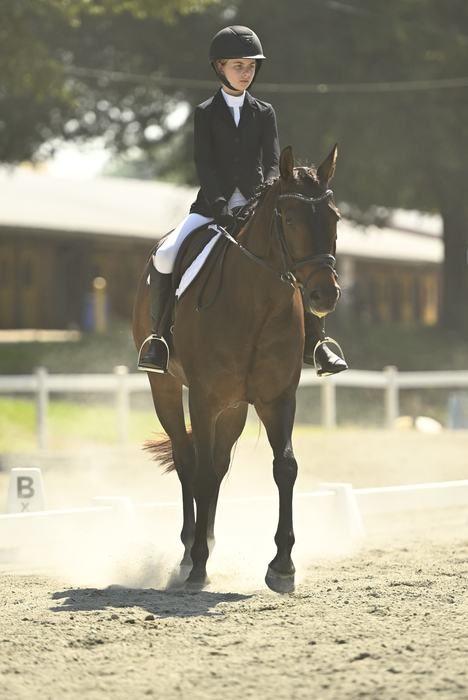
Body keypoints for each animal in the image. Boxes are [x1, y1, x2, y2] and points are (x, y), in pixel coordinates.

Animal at [132, 145, 341, 593]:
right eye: (291, 219)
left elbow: (285, 467)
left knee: (218, 463)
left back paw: (208, 544)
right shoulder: (204, 398)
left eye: (334, 218)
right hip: (167, 390)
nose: (324, 295)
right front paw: (196, 566)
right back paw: (188, 555)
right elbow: (201, 472)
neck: (257, 305)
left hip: (235, 407)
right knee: (189, 460)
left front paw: (282, 566)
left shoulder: (277, 398)